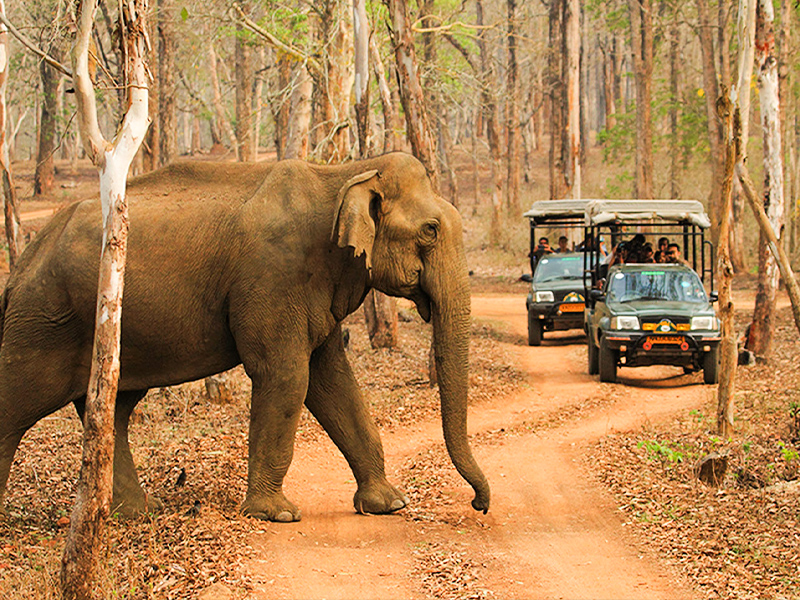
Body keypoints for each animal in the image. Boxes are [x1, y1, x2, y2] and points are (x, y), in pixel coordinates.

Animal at [0, 154, 488, 520]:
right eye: (430, 230)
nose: (478, 504)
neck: (343, 172)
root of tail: (24, 259)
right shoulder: (275, 276)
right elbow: (287, 375)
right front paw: (276, 513)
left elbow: (333, 381)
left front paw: (389, 504)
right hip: (44, 320)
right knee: (17, 403)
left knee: (112, 411)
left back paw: (138, 512)